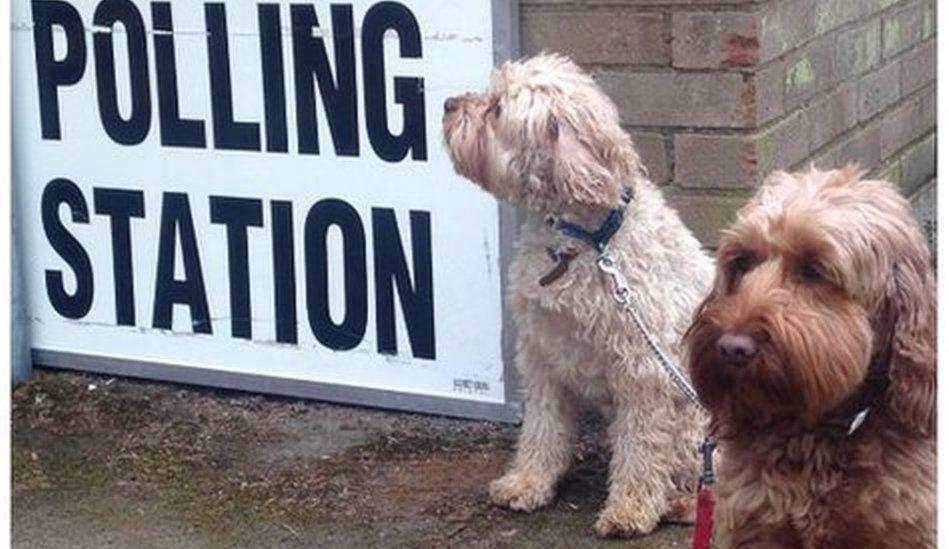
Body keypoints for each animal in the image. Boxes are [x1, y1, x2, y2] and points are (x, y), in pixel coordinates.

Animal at [440, 52, 716, 536]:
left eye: (497, 109)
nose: (448, 104)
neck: (586, 243)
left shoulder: (643, 371)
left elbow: (642, 446)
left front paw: (629, 509)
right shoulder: (542, 355)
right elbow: (542, 428)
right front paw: (528, 482)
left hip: (698, 416)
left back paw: (680, 503)